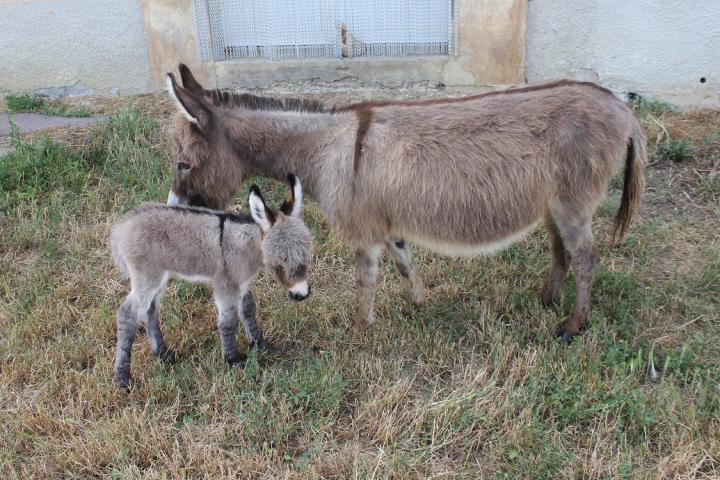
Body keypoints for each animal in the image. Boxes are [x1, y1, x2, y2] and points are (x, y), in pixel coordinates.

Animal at [109, 174, 310, 388]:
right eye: (280, 264)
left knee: (150, 310)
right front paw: (233, 360)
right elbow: (229, 321)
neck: (249, 247)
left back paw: (164, 354)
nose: (302, 295)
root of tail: (121, 228)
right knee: (128, 314)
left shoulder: (243, 283)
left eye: (307, 258)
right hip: (147, 276)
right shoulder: (226, 285)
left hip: (159, 276)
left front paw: (260, 344)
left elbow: (248, 311)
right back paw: (123, 377)